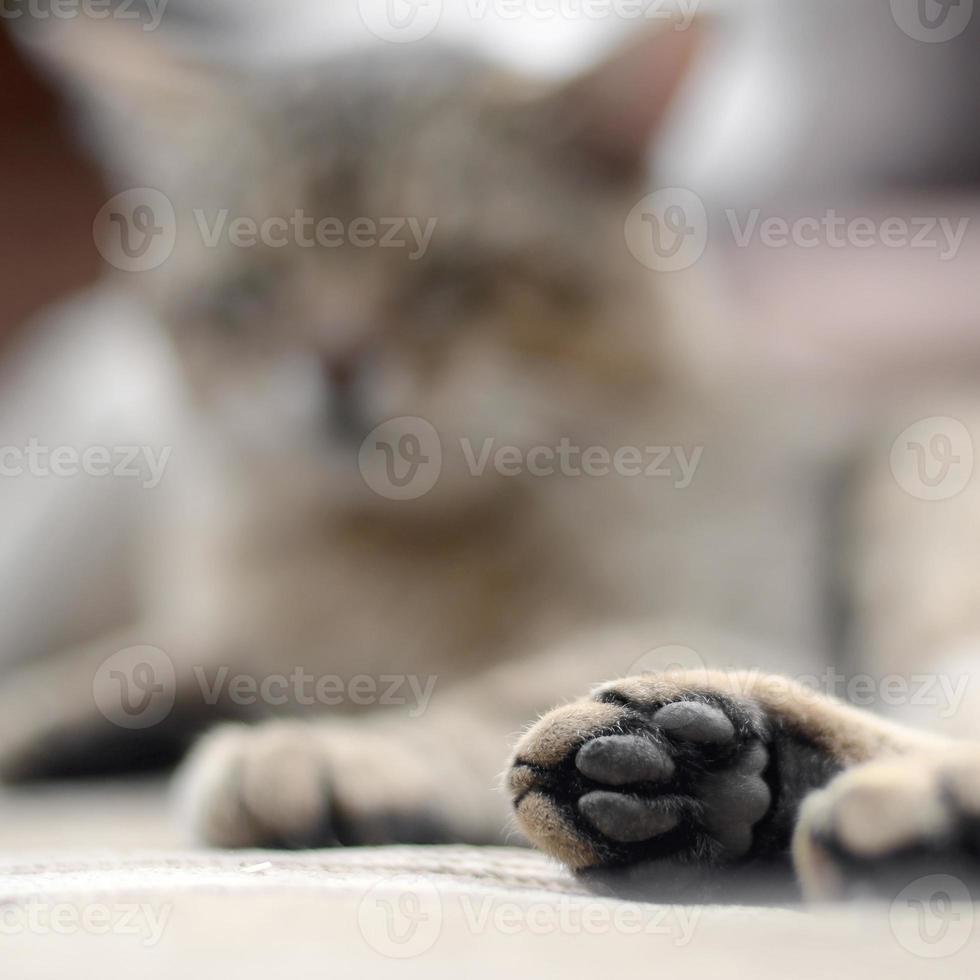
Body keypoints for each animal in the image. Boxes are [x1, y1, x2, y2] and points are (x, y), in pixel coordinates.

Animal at [5, 11, 980, 900]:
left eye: (449, 280)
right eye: (254, 291)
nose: (337, 363)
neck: (389, 549)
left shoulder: (722, 617)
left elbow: (483, 698)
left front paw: (334, 749)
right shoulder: (221, 641)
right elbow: (109, 675)